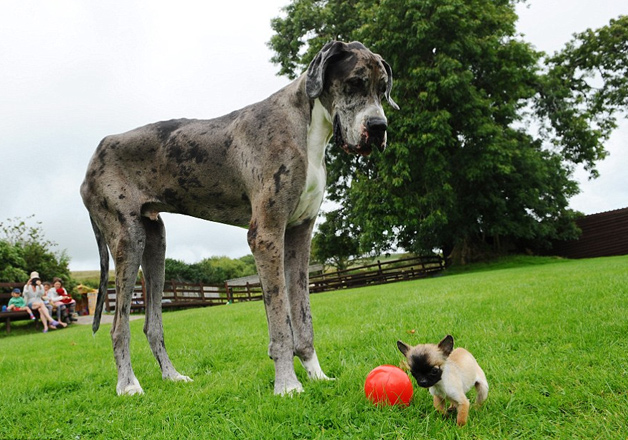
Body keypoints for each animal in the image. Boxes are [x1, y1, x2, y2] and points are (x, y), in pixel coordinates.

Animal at [82, 41, 398, 396]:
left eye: (383, 89)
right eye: (355, 82)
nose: (379, 127)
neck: (307, 127)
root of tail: (95, 154)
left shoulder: (299, 235)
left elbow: (303, 317)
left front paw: (317, 375)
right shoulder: (266, 235)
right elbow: (280, 323)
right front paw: (288, 385)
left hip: (155, 244)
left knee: (152, 324)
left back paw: (172, 376)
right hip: (128, 240)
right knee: (119, 325)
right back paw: (128, 386)